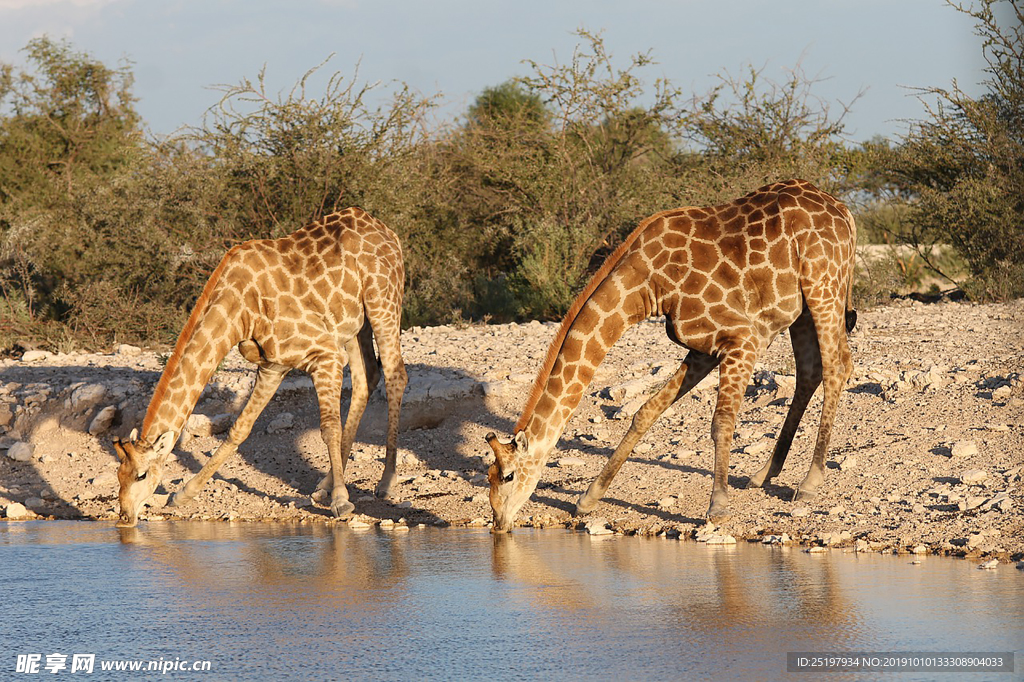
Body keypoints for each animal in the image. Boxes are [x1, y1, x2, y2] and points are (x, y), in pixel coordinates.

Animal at [113, 206, 407, 524]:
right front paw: (184, 494)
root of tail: (387, 231)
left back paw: (385, 482)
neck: (238, 312)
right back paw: (325, 485)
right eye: (118, 475)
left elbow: (329, 427)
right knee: (368, 377)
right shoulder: (272, 366)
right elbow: (239, 428)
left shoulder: (324, 353)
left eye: (142, 475)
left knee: (395, 375)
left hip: (383, 302)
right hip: (353, 323)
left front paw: (342, 501)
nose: (124, 516)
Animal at [487, 178, 856, 528]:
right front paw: (588, 498)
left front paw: (718, 506)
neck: (646, 286)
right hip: (802, 308)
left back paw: (809, 482)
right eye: (488, 476)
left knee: (837, 367)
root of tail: (844, 212)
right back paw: (764, 473)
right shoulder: (704, 347)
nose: (499, 523)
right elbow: (645, 412)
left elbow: (722, 420)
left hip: (824, 286)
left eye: (508, 475)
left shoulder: (742, 337)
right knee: (810, 372)